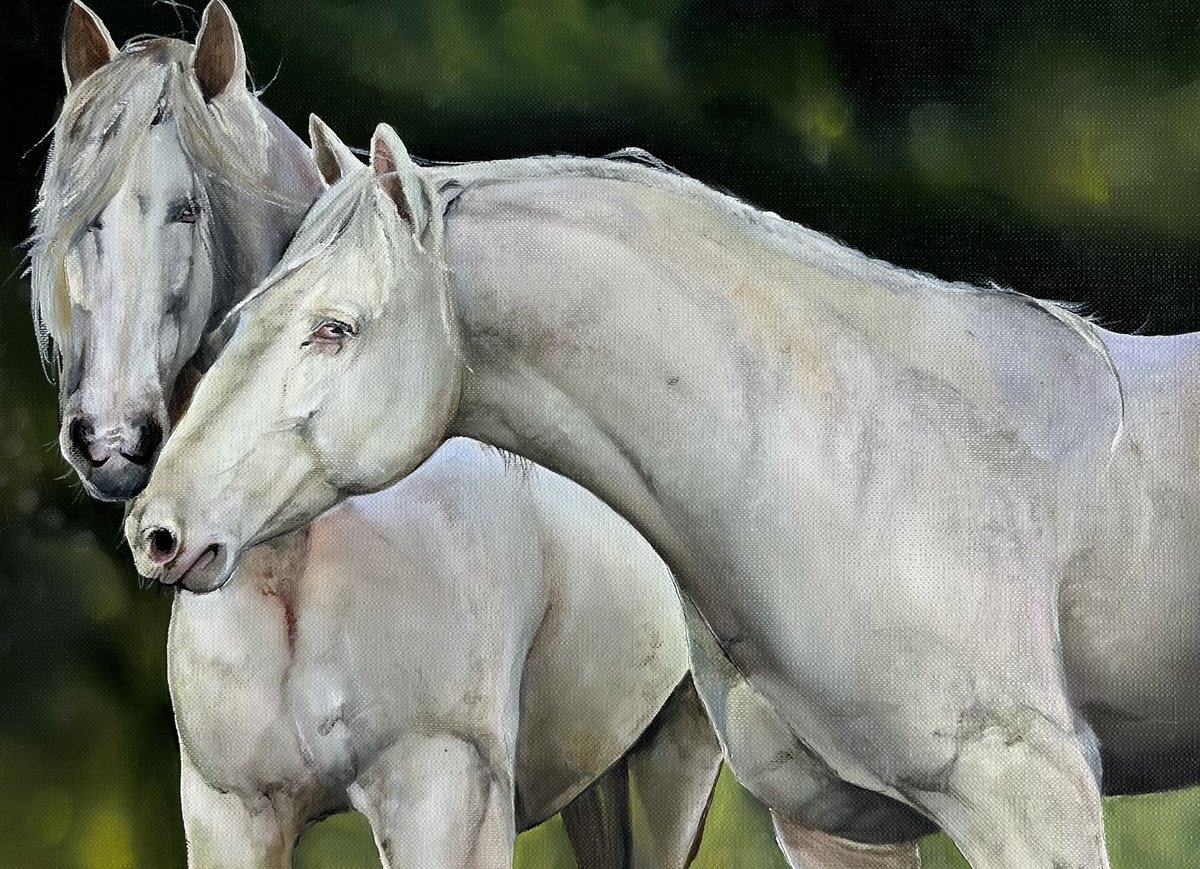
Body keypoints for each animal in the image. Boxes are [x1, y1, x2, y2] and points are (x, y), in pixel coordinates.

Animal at [34, 4, 730, 866]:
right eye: (74, 215)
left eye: (186, 209)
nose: (109, 436)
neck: (297, 560)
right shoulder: (230, 815)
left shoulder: (446, 797)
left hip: (673, 759)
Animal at [126, 113, 1200, 868]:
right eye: (244, 315)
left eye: (336, 327)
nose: (158, 530)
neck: (872, 457)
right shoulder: (840, 826)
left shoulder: (1031, 799)